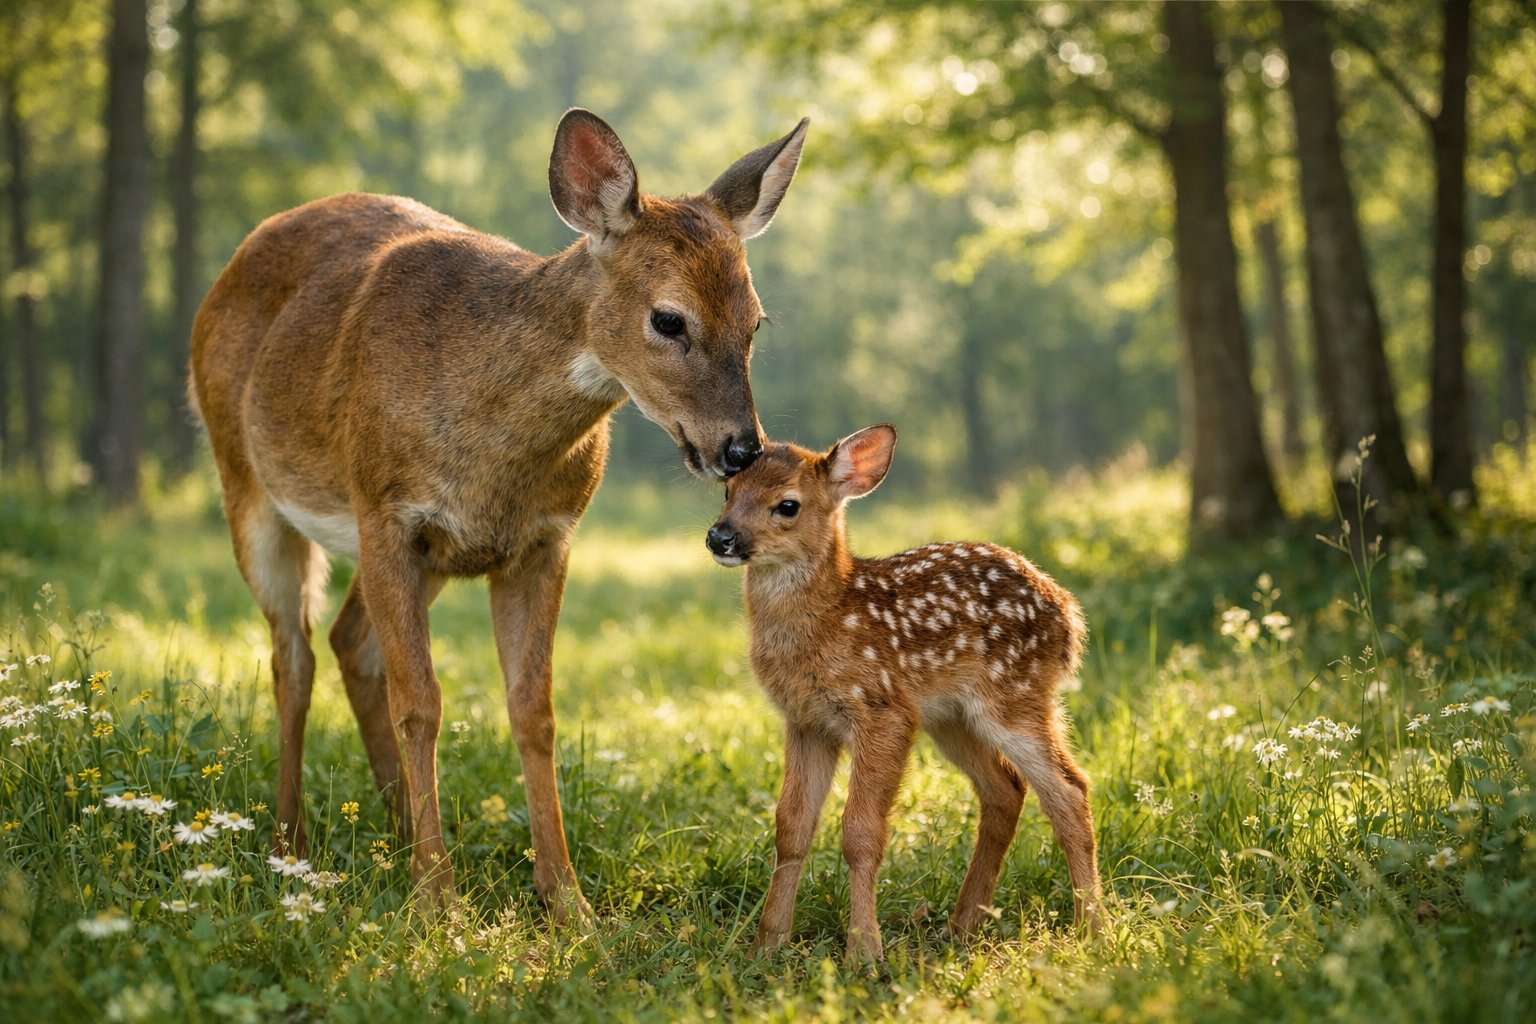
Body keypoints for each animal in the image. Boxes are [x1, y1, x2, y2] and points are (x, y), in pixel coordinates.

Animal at [188, 108, 809, 920]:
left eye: (756, 321)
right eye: (669, 319)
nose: (740, 448)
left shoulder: (544, 539)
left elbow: (533, 711)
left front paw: (568, 901)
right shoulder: (385, 511)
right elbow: (421, 704)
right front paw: (437, 901)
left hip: (425, 558)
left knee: (350, 640)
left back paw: (394, 829)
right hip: (246, 483)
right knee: (293, 655)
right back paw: (291, 841)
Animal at [706, 425, 1102, 961]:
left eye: (787, 505)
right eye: (728, 490)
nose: (720, 536)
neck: (831, 620)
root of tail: (1069, 614)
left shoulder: (881, 709)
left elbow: (860, 832)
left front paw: (864, 951)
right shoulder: (807, 720)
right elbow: (791, 828)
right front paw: (767, 945)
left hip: (1015, 695)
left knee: (1069, 790)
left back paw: (1093, 927)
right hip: (950, 718)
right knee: (1005, 790)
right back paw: (962, 925)